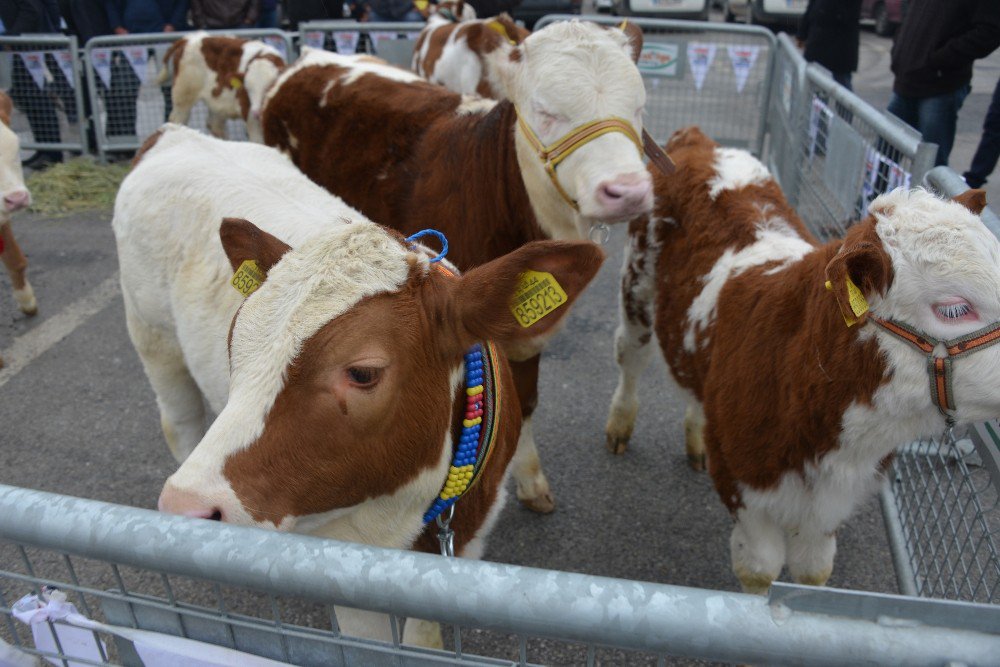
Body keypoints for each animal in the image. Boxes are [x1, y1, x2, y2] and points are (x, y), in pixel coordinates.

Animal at [117, 124, 600, 640]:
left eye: (363, 372)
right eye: (235, 343)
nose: (185, 508)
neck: (406, 509)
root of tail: (174, 134)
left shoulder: (467, 539)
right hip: (153, 336)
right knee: (180, 420)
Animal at [156, 32, 284, 142]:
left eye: (269, 87)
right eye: (247, 90)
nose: (256, 112)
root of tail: (190, 38)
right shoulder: (251, 118)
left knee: (215, 125)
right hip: (183, 95)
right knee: (177, 120)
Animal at [604, 126, 1000, 596]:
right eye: (954, 309)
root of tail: (698, 141)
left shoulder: (835, 500)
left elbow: (813, 572)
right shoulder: (744, 484)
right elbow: (760, 571)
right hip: (636, 288)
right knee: (631, 356)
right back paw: (620, 425)